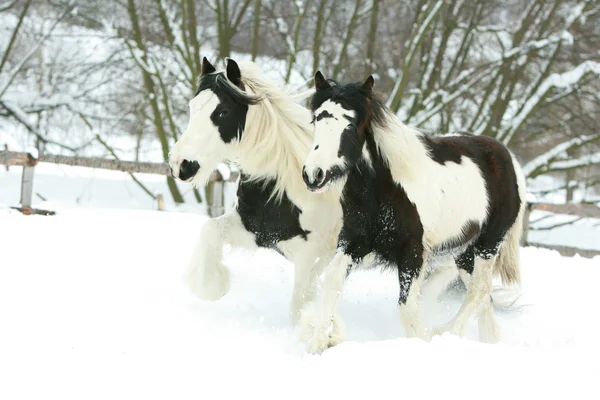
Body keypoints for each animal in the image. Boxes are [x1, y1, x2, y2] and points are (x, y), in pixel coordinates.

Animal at [171, 58, 344, 322]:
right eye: (192, 107)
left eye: (222, 112)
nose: (181, 165)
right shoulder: (256, 231)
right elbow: (210, 229)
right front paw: (212, 287)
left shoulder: (313, 253)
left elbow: (299, 304)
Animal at [300, 72, 524, 354]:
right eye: (316, 118)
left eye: (350, 124)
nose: (313, 174)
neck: (384, 189)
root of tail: (510, 160)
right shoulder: (354, 241)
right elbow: (332, 279)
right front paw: (319, 342)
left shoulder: (412, 252)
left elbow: (407, 309)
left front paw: (421, 342)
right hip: (465, 252)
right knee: (482, 295)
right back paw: (488, 341)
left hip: (488, 243)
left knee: (479, 290)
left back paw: (445, 332)